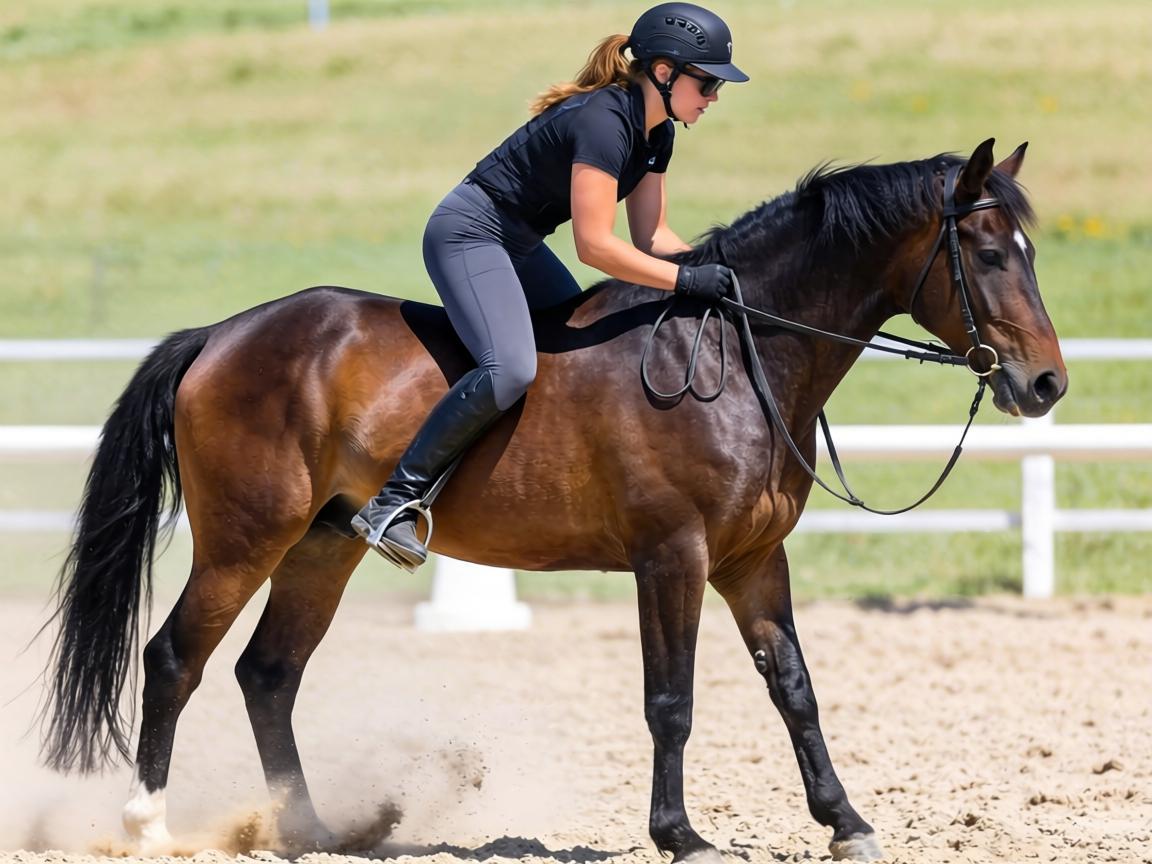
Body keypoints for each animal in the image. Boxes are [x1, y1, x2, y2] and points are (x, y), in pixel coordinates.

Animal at [42, 139, 1066, 863]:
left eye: (1029, 249)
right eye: (985, 252)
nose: (1046, 384)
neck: (738, 354)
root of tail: (222, 334)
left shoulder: (751, 560)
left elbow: (796, 691)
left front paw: (846, 822)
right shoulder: (674, 555)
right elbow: (671, 699)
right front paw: (682, 837)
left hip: (323, 546)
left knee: (268, 675)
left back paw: (312, 832)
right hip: (245, 538)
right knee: (175, 657)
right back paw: (148, 826)